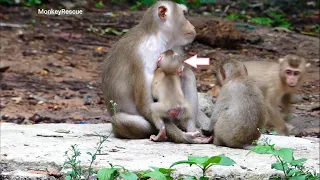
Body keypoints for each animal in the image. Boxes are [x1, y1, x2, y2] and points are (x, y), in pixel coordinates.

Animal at [100, 0, 210, 143]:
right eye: (184, 14)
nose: (192, 26)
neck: (156, 36)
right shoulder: (142, 57)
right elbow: (146, 106)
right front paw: (184, 137)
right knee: (120, 120)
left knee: (187, 74)